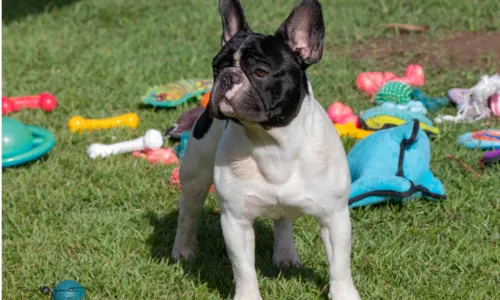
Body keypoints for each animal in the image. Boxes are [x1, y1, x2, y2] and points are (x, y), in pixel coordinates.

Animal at [172, 1, 360, 298]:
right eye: (216, 67)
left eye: (260, 72)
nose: (227, 77)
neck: (272, 141)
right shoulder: (235, 220)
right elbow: (243, 269)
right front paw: (248, 295)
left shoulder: (335, 217)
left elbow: (340, 266)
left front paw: (344, 294)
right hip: (195, 176)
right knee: (188, 213)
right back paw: (183, 250)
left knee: (283, 221)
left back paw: (285, 256)